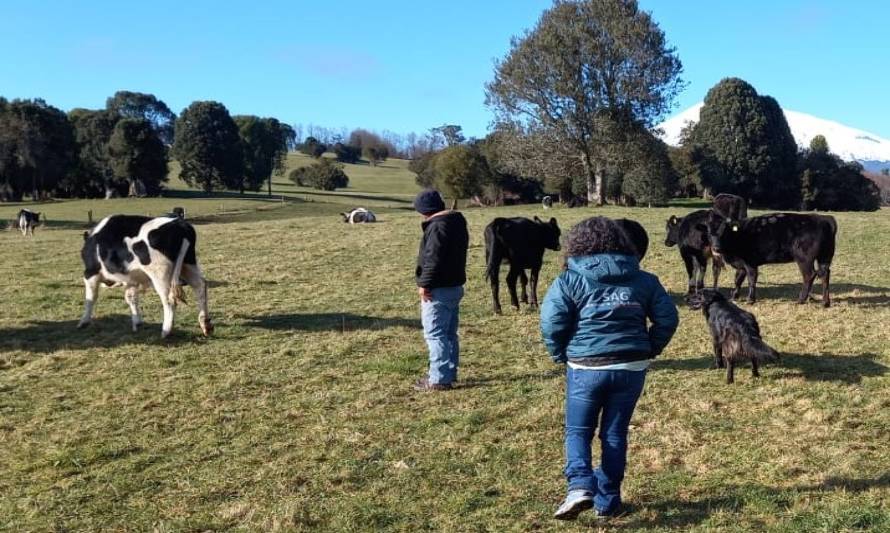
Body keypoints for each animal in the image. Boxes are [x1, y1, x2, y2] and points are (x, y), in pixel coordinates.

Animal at [77, 213, 213, 334]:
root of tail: (180, 223)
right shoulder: (131, 278)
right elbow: (131, 298)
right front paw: (137, 322)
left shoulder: (90, 273)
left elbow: (90, 298)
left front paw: (84, 321)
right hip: (188, 264)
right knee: (200, 286)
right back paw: (205, 324)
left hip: (160, 275)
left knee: (169, 300)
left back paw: (166, 330)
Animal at [704, 211, 836, 306]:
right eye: (709, 233)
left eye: (724, 232)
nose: (716, 248)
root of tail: (824, 218)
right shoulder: (741, 265)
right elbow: (738, 280)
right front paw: (734, 296)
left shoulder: (750, 263)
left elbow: (751, 280)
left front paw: (750, 300)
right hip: (825, 256)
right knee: (824, 274)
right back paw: (825, 302)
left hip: (804, 259)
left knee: (809, 275)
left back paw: (800, 300)